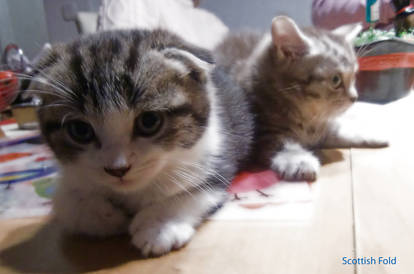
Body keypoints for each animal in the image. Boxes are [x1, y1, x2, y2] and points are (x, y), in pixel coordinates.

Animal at [29, 28, 252, 256]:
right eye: (80, 130)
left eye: (149, 121)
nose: (118, 169)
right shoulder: (72, 173)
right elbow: (67, 203)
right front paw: (103, 215)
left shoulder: (217, 156)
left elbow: (199, 189)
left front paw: (159, 225)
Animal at [215, 15, 386, 182]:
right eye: (336, 80)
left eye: (354, 76)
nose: (354, 97)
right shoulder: (262, 135)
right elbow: (284, 145)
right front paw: (299, 161)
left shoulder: (323, 127)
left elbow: (338, 130)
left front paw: (369, 133)